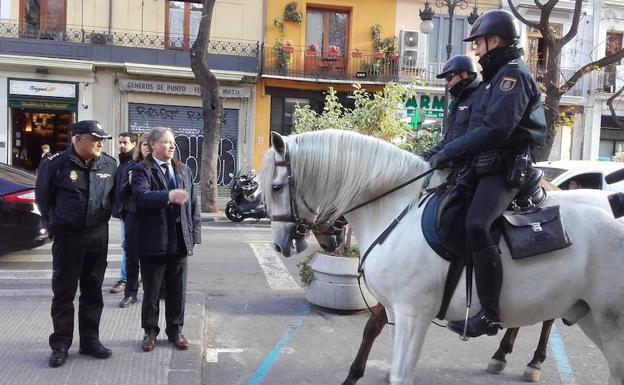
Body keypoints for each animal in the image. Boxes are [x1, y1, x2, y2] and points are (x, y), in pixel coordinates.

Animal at [260, 129, 624, 384]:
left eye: (276, 187)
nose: (279, 245)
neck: (396, 211)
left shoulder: (413, 313)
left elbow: (396, 366)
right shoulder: (395, 310)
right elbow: (376, 336)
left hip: (609, 323)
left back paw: (529, 361)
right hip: (586, 313)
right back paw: (504, 355)